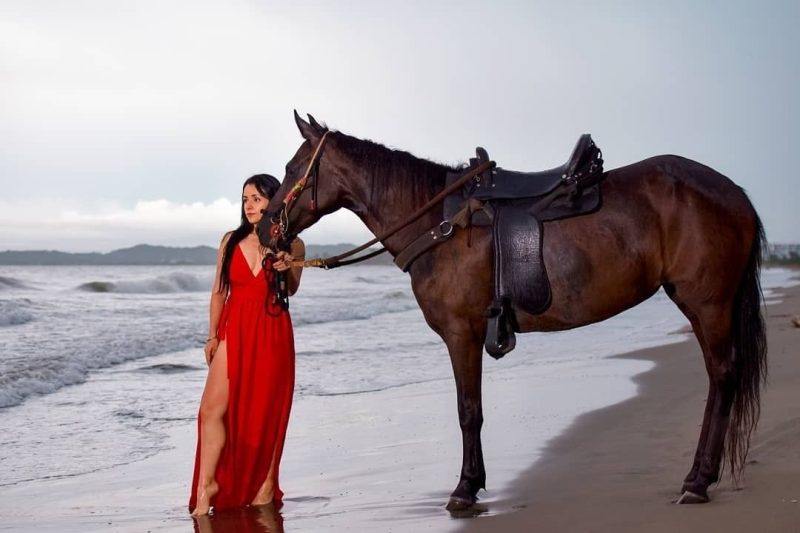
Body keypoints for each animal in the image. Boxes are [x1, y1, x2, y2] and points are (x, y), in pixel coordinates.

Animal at [260, 113, 764, 512]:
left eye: (292, 168)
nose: (265, 229)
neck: (439, 223)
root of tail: (735, 193)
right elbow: (473, 410)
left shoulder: (461, 333)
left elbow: (468, 411)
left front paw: (465, 488)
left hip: (708, 304)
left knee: (722, 377)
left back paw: (697, 481)